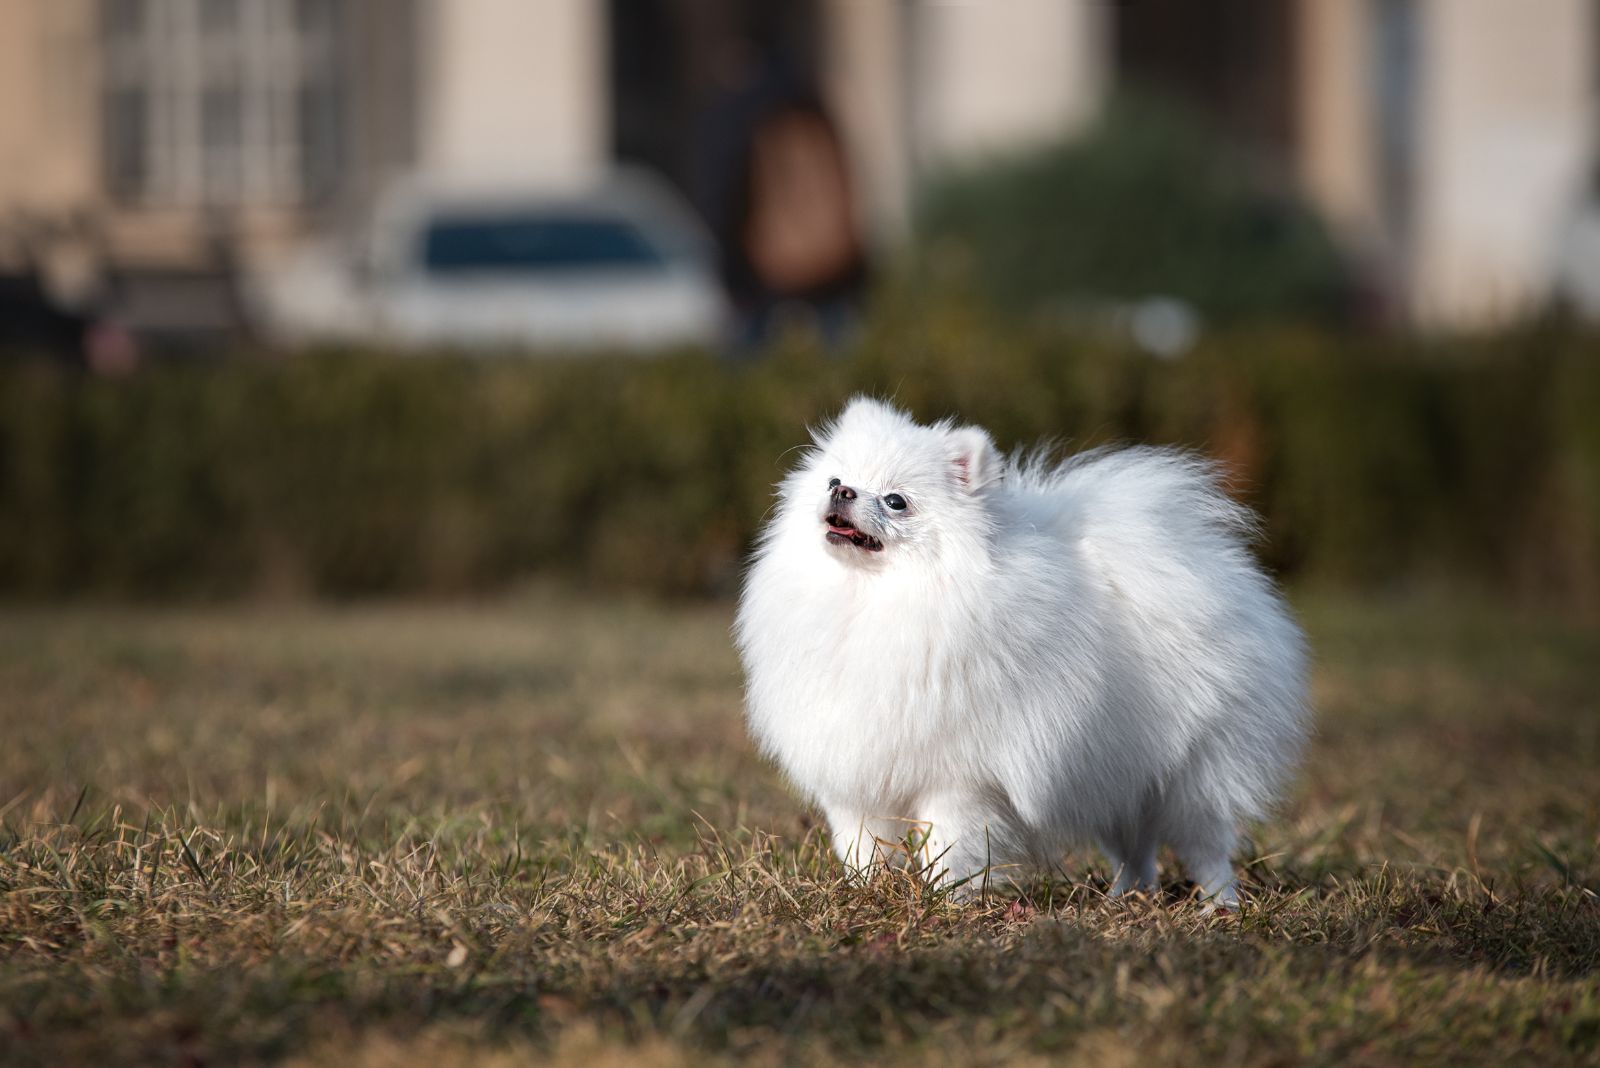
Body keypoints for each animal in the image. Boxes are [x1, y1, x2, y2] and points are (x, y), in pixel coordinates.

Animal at [732, 396, 1305, 908]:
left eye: (896, 500)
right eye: (833, 481)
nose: (844, 491)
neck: (873, 599)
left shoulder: (961, 779)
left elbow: (950, 846)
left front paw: (944, 902)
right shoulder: (857, 775)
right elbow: (862, 846)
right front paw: (864, 892)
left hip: (1193, 777)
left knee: (1206, 846)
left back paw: (1219, 905)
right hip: (1113, 772)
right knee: (1135, 848)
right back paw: (1124, 899)